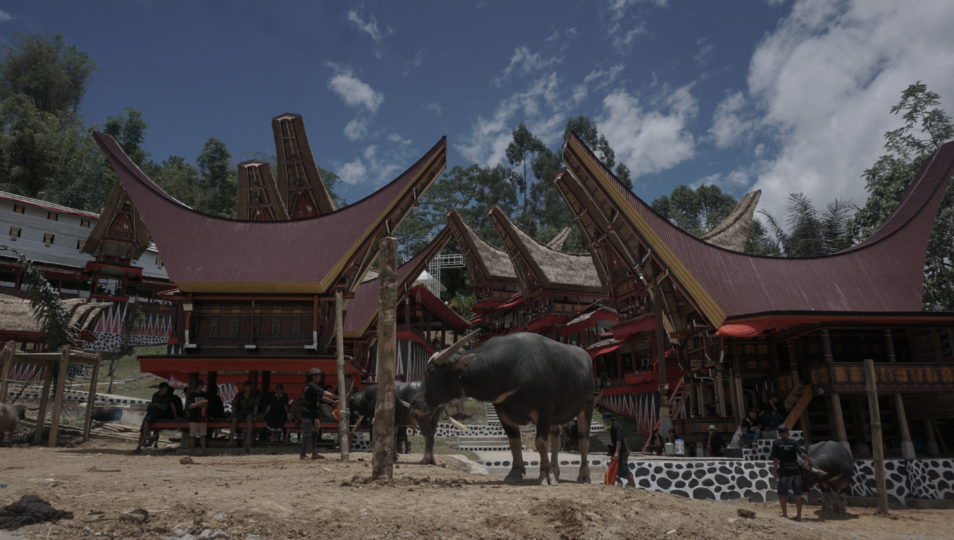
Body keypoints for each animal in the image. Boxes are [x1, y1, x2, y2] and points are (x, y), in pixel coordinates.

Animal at [422, 332, 592, 484]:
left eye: (431, 372)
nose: (421, 401)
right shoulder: (502, 412)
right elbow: (514, 442)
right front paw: (515, 472)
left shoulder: (545, 411)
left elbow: (541, 443)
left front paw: (546, 476)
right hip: (556, 417)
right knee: (556, 436)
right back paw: (555, 471)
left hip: (586, 407)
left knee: (583, 438)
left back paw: (583, 476)